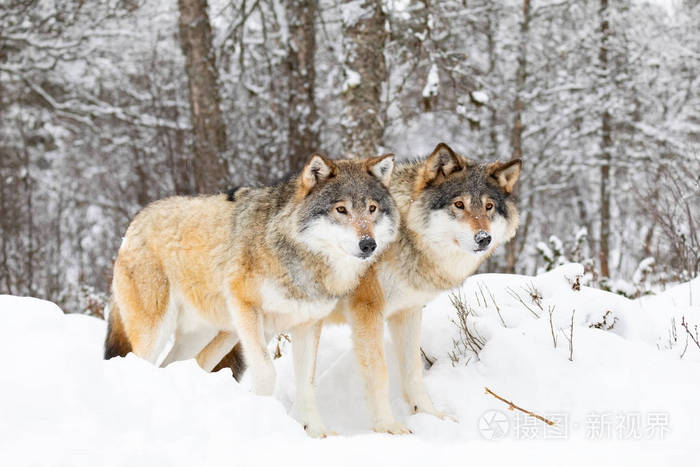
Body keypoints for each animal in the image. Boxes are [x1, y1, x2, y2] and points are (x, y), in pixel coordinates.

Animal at [104, 154, 400, 438]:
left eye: (372, 209)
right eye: (341, 209)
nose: (368, 244)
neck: (303, 260)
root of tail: (134, 222)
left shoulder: (308, 325)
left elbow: (307, 384)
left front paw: (316, 432)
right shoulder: (246, 308)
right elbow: (267, 371)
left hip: (210, 335)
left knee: (181, 365)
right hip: (158, 332)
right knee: (137, 364)